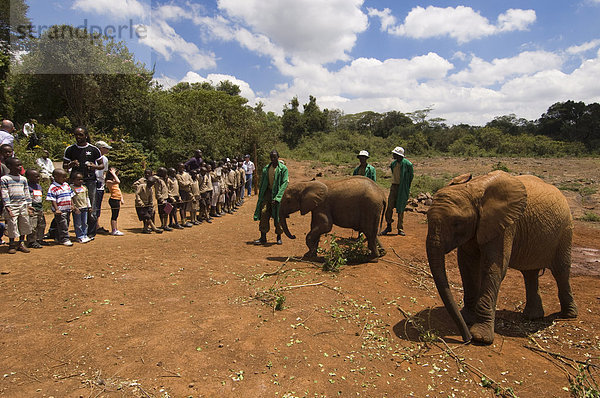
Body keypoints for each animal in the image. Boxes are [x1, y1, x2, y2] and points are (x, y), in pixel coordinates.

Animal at [426, 171, 576, 346]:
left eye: (457, 223)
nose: (466, 339)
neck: (473, 189)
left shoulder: (505, 225)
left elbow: (493, 268)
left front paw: (481, 337)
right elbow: (467, 266)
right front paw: (467, 318)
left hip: (565, 230)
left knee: (561, 271)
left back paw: (569, 315)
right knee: (530, 273)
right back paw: (533, 316)